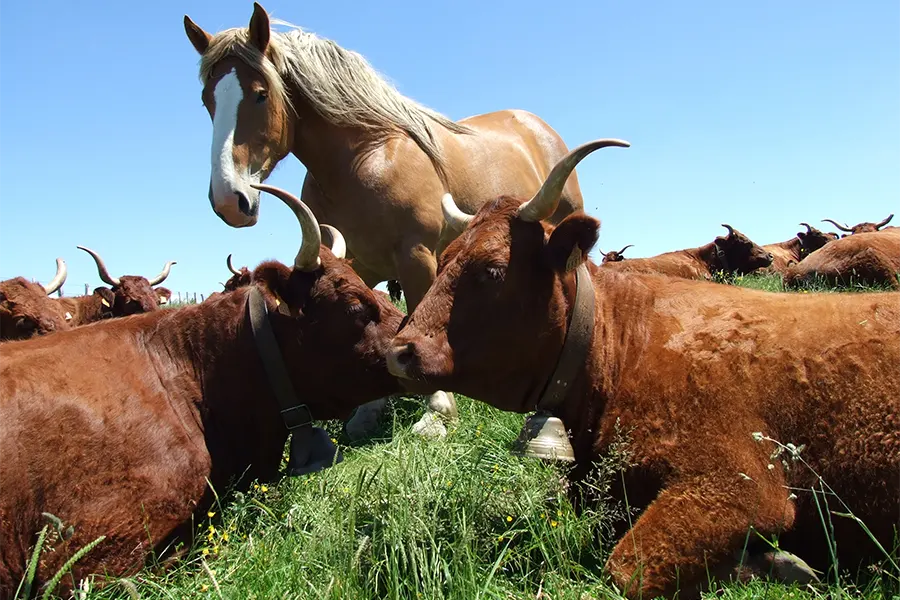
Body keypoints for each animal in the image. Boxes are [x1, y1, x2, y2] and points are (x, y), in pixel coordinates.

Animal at [183, 3, 627, 438]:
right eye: (206, 100)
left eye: (260, 95)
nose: (229, 199)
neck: (366, 159)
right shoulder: (360, 265)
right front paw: (367, 410)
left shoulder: (416, 256)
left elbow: (420, 312)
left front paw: (438, 411)